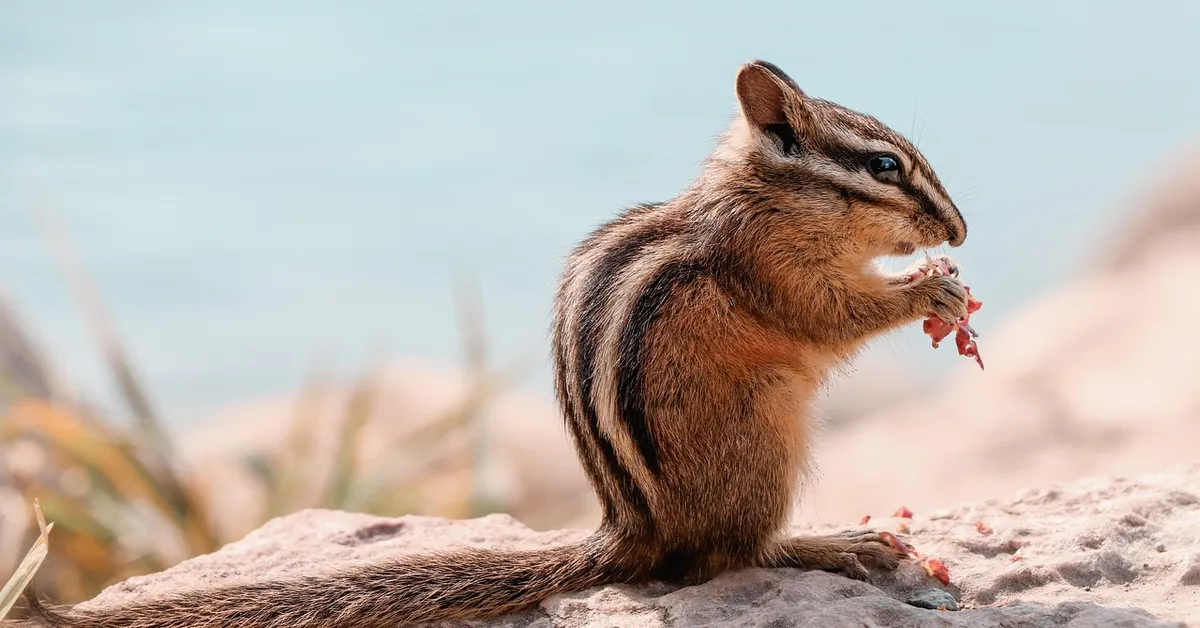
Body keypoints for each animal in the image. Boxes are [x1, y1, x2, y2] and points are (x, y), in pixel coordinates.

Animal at [13, 59, 970, 627]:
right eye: (884, 167)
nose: (958, 230)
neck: (768, 199)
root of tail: (631, 530)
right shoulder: (772, 271)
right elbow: (828, 316)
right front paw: (931, 289)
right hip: (764, 445)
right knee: (731, 555)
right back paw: (835, 543)